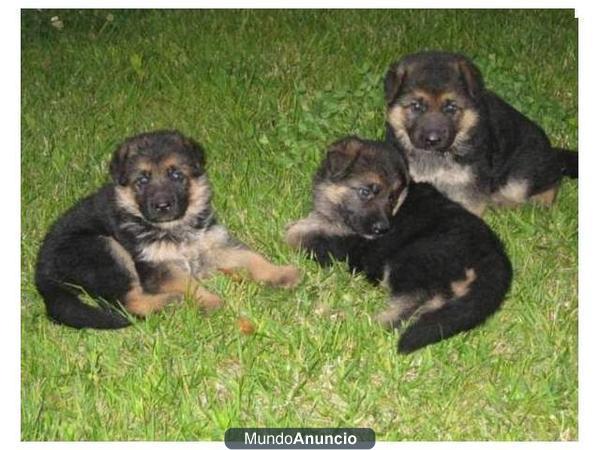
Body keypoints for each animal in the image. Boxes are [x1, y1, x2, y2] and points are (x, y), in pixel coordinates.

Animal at [36, 130, 300, 330]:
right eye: (142, 180)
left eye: (176, 175)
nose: (162, 205)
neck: (174, 227)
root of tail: (41, 271)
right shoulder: (159, 267)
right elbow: (188, 283)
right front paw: (209, 300)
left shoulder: (216, 245)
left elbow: (252, 258)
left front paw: (281, 273)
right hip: (103, 248)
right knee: (126, 303)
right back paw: (170, 301)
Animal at [286, 135, 510, 354]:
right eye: (366, 192)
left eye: (392, 198)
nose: (383, 229)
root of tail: (493, 256)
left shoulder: (344, 245)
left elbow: (294, 234)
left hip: (413, 258)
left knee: (414, 300)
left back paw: (372, 324)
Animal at [384, 51, 576, 216]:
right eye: (416, 106)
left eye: (451, 108)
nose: (432, 139)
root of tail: (551, 151)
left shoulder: (469, 187)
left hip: (523, 174)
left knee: (551, 181)